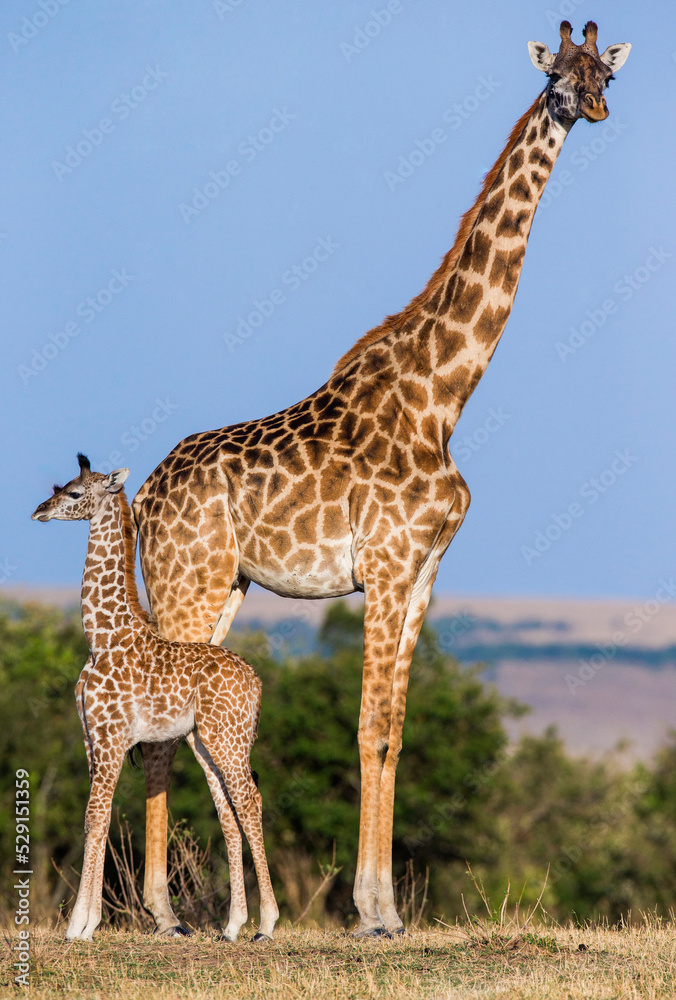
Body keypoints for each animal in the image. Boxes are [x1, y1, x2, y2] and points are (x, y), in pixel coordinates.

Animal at [32, 454, 278, 943]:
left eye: (73, 492)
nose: (39, 511)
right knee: (229, 811)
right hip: (207, 742)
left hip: (227, 740)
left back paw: (267, 924)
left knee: (249, 802)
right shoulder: (92, 740)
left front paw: (78, 926)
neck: (101, 637)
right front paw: (87, 923)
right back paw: (232, 926)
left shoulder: (111, 739)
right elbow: (100, 819)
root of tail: (256, 681)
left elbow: (94, 817)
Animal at [132, 22, 631, 937]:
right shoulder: (387, 569)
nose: (595, 110)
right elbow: (367, 727)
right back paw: (163, 913)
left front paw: (386, 903)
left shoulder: (426, 574)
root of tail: (144, 496)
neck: (444, 397)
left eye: (603, 75)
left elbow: (396, 728)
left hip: (223, 588)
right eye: (556, 79)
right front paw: (371, 911)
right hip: (188, 580)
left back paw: (176, 909)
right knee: (161, 717)